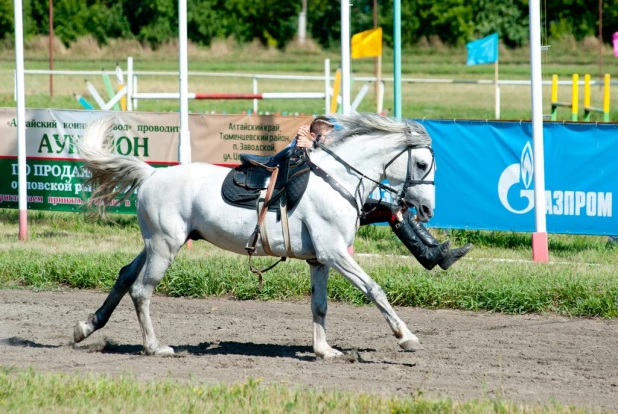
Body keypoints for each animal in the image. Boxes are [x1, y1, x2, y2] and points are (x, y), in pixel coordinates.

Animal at [72, 112, 436, 360]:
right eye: (420, 164)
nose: (428, 209)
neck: (337, 180)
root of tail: (151, 175)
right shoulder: (335, 254)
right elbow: (374, 289)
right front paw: (406, 336)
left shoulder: (320, 260)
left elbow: (319, 305)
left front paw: (324, 350)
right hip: (165, 247)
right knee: (141, 291)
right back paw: (154, 346)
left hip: (157, 245)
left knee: (125, 276)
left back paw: (85, 327)